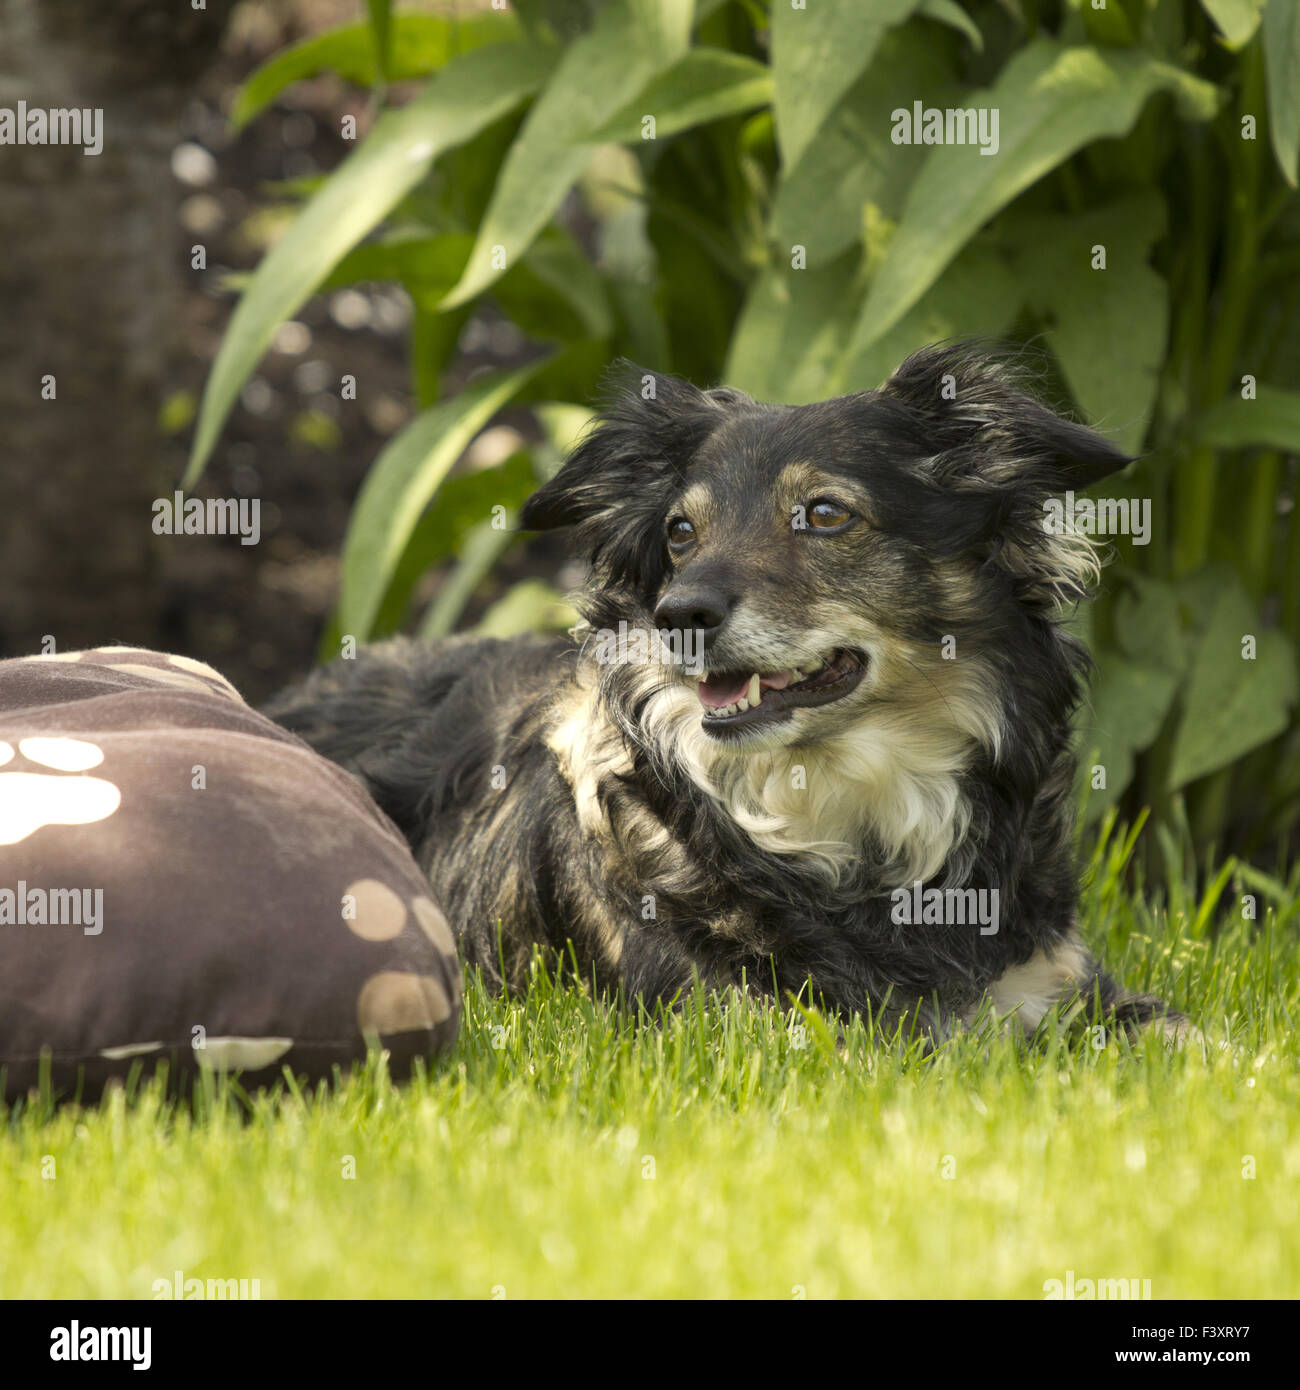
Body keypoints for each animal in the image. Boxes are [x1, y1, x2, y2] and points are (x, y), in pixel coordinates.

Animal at [269, 344, 1184, 1045]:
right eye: (681, 532)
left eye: (824, 513)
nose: (679, 618)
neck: (850, 805)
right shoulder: (752, 1023)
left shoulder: (1059, 982)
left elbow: (1187, 1036)